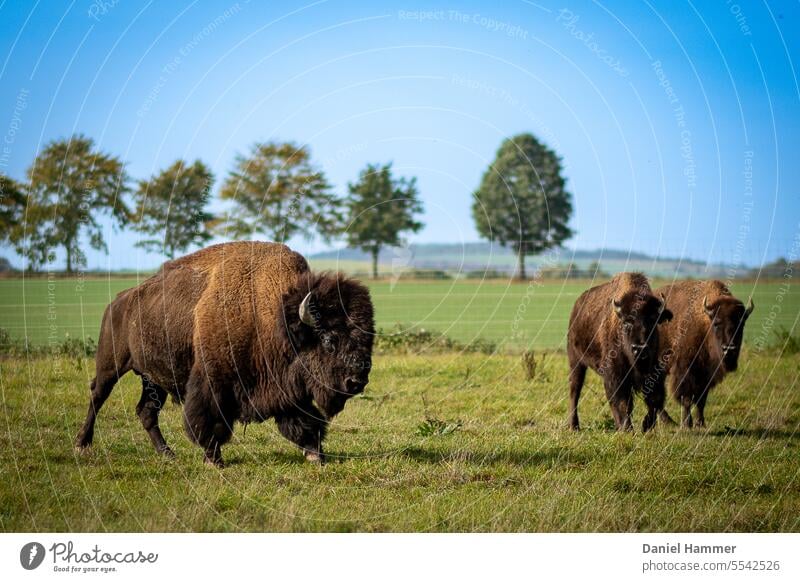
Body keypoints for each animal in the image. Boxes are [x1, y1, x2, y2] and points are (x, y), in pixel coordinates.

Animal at [75, 243, 376, 470]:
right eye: (328, 339)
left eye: (368, 339)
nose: (356, 382)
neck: (275, 319)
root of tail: (118, 301)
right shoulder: (213, 383)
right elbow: (210, 422)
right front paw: (214, 460)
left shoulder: (286, 389)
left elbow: (304, 422)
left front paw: (316, 455)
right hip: (110, 364)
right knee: (97, 396)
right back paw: (81, 444)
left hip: (154, 378)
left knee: (146, 411)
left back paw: (168, 454)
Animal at [564, 274, 672, 434]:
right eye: (627, 322)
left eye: (653, 320)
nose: (639, 348)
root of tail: (577, 307)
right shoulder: (615, 375)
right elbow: (621, 402)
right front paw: (627, 429)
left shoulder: (654, 372)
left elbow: (654, 400)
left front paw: (646, 426)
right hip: (576, 361)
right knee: (575, 390)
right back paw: (574, 426)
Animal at [652, 280, 752, 432]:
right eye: (716, 323)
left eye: (741, 324)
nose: (729, 349)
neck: (705, 323)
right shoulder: (684, 372)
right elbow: (686, 399)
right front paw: (687, 424)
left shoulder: (706, 376)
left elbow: (701, 400)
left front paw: (700, 424)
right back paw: (669, 421)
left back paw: (669, 421)